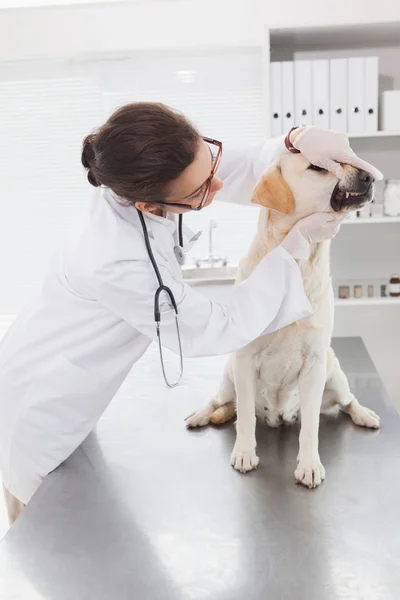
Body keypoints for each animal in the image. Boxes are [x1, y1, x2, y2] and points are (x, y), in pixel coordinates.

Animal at [186, 151, 380, 488]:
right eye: (317, 167)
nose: (369, 176)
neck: (296, 263)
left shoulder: (314, 364)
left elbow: (311, 426)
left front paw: (310, 464)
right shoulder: (245, 359)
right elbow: (245, 416)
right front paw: (245, 452)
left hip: (334, 375)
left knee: (348, 401)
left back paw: (364, 414)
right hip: (229, 378)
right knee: (219, 401)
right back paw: (200, 414)